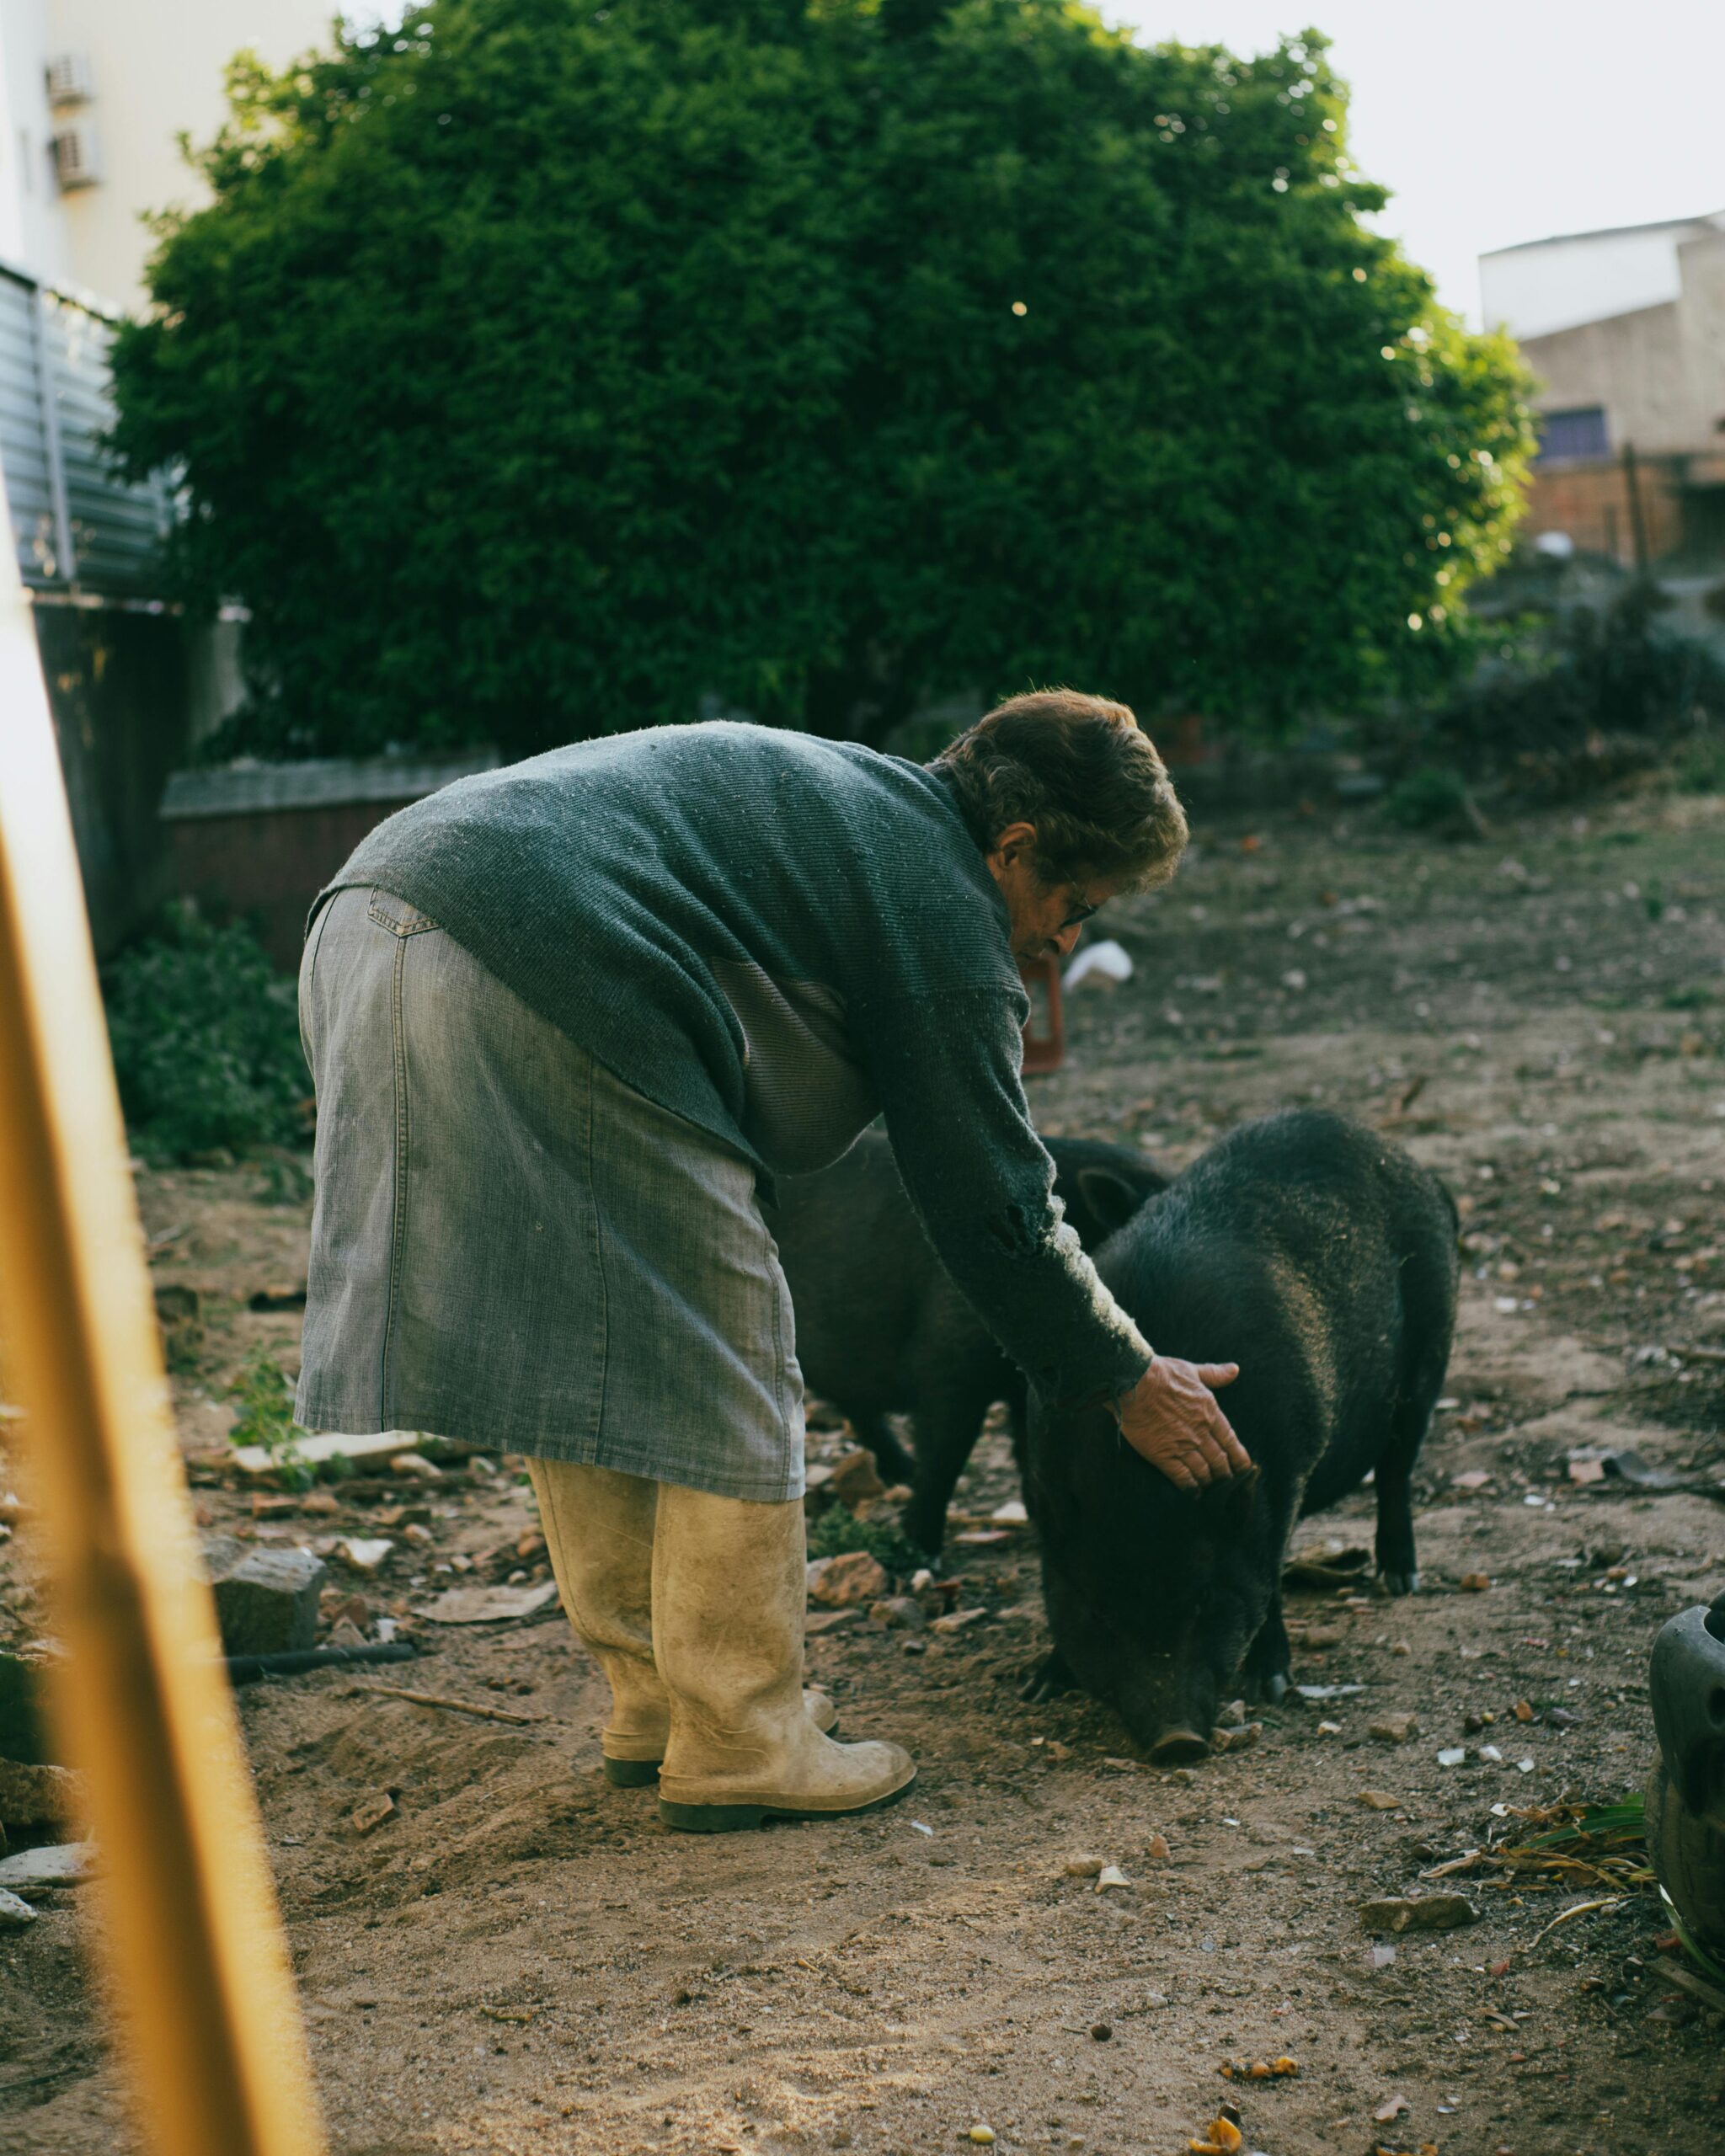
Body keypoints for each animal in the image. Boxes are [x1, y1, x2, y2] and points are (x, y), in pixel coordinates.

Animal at [1026, 1112, 1457, 1768]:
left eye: (1204, 1600)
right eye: (1099, 1612)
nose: (1177, 1740)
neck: (1137, 1486)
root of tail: (1411, 1164)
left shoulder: (1284, 1470)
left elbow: (1267, 1575)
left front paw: (1270, 1687)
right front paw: (1039, 1686)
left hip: (1429, 1358)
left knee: (1397, 1471)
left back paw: (1401, 1580)